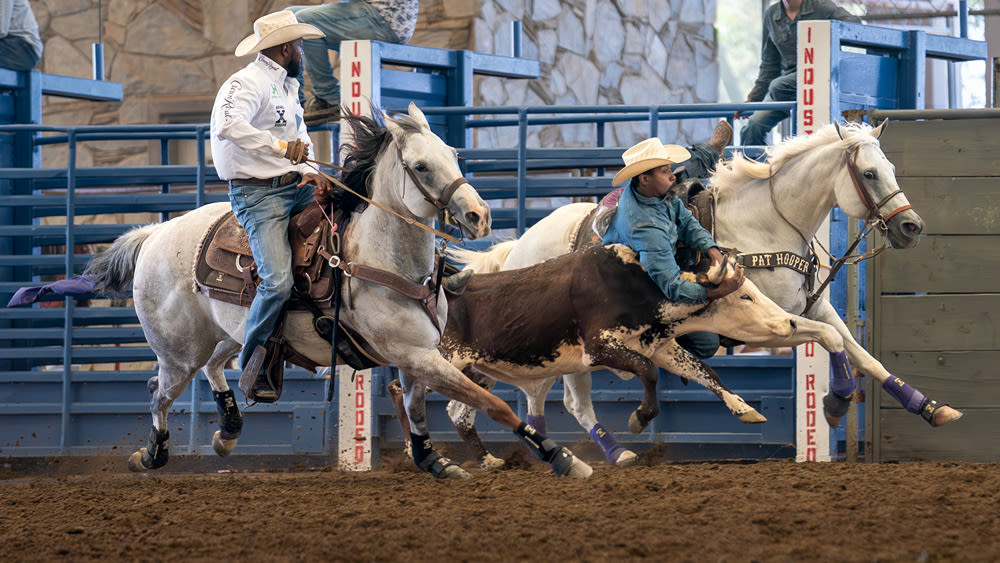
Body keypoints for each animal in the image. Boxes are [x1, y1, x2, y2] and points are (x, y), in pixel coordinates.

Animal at [86, 103, 592, 478]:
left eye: (453, 153)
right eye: (421, 165)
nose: (479, 216)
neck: (380, 259)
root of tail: (155, 234)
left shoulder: (418, 354)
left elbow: (417, 408)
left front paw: (433, 459)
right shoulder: (416, 354)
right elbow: (493, 404)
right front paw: (561, 457)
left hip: (230, 333)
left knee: (215, 367)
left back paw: (227, 431)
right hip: (179, 351)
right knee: (159, 392)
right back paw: (152, 455)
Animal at [448, 121, 960, 470]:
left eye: (889, 168)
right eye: (870, 174)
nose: (911, 227)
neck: (769, 224)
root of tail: (519, 247)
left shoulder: (816, 306)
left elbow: (860, 353)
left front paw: (929, 407)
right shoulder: (769, 318)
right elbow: (830, 344)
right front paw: (835, 403)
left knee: (523, 397)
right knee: (570, 401)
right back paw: (613, 452)